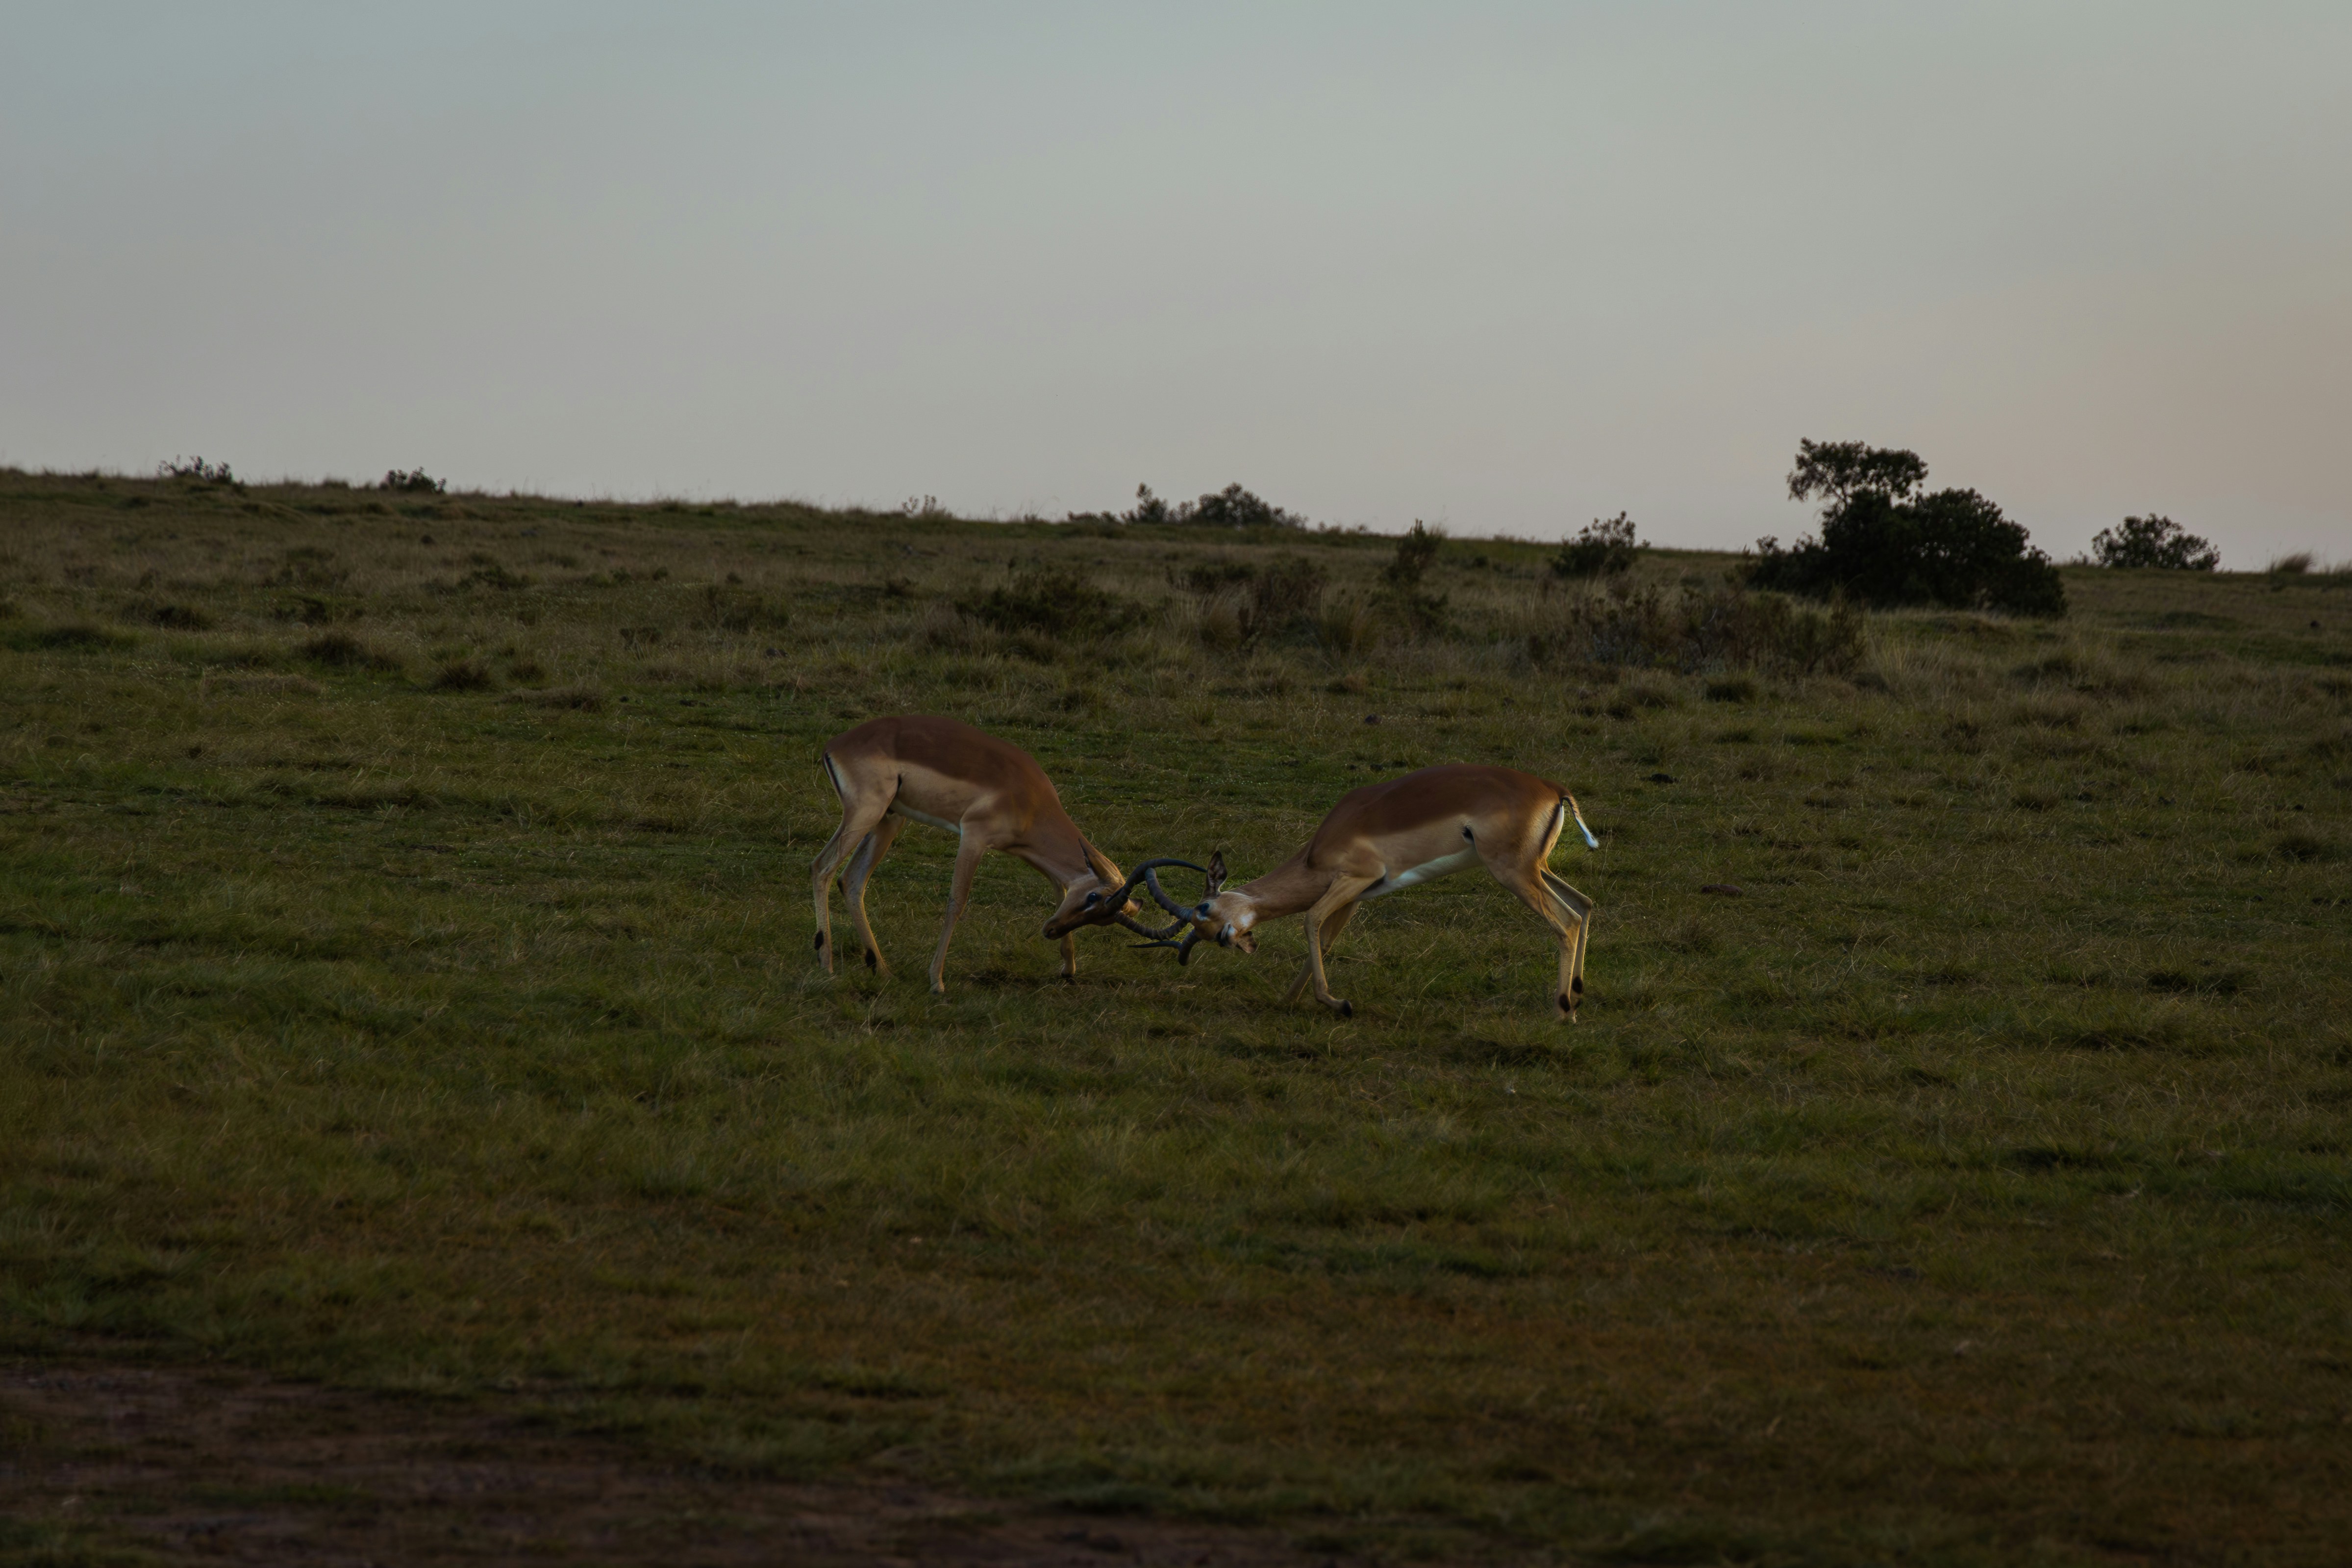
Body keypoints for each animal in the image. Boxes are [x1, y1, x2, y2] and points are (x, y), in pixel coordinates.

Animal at [810, 715, 1178, 992]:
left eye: (1104, 918)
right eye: (1093, 898)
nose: (1050, 930)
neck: (1031, 798)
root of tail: (836, 745)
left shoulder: (1027, 852)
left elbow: (1059, 887)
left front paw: (1068, 968)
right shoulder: (974, 837)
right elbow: (957, 902)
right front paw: (937, 981)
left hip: (889, 819)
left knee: (852, 880)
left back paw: (882, 969)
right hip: (866, 814)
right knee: (822, 868)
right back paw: (826, 966)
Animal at [1108, 764, 1601, 1019]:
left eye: (1205, 906)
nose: (1230, 938)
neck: (1318, 849)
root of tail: (1553, 788)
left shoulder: (1353, 879)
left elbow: (1310, 922)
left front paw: (1337, 1002)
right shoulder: (1358, 896)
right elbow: (1325, 939)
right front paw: (1288, 1000)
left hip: (1513, 872)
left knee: (1565, 922)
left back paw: (1564, 1010)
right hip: (1536, 868)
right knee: (1584, 906)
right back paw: (1576, 993)